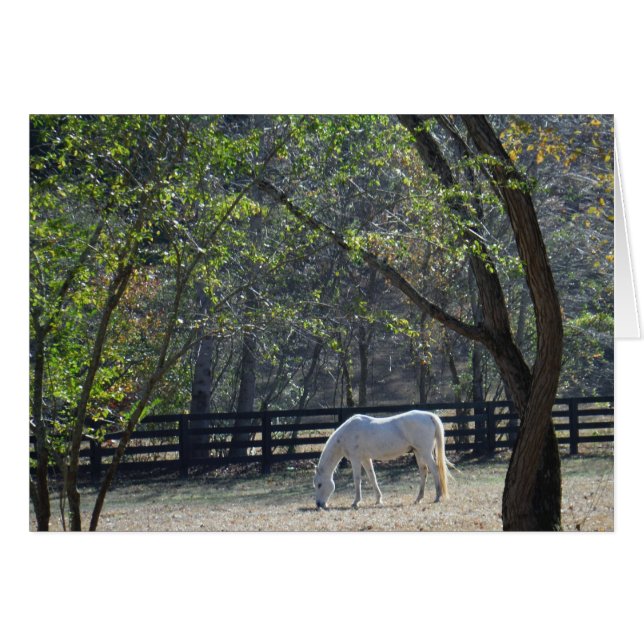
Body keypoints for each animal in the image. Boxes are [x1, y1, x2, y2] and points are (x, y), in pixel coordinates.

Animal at [313, 410, 451, 510]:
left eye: (319, 484)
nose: (319, 504)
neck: (347, 433)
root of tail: (429, 416)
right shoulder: (365, 459)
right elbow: (372, 477)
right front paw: (378, 500)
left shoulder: (355, 459)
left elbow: (357, 480)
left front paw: (356, 502)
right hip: (418, 452)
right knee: (424, 471)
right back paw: (418, 498)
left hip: (425, 452)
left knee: (435, 470)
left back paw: (437, 496)